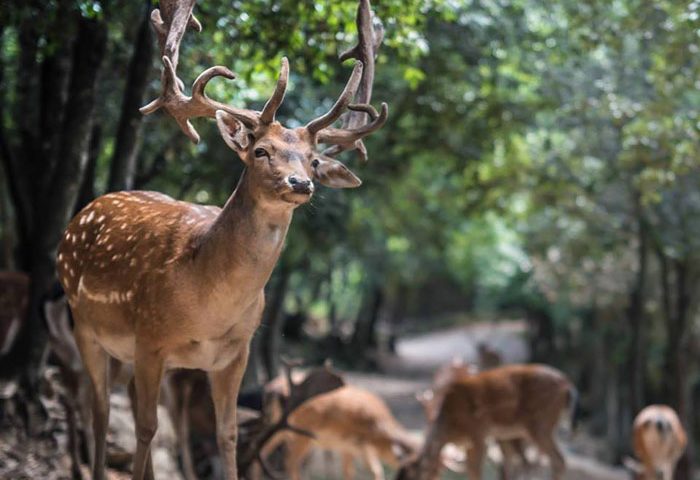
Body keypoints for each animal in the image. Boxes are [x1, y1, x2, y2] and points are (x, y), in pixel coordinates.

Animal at [57, 1, 388, 478]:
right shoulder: (150, 338)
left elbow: (226, 435)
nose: (301, 183)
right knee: (101, 409)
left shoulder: (236, 353)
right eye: (261, 150)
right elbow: (147, 429)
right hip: (83, 322)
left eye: (312, 159)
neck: (206, 310)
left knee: (129, 409)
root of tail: (83, 212)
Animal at [396, 364, 576, 480]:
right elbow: (472, 470)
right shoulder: (469, 442)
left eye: (411, 476)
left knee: (557, 460)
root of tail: (568, 386)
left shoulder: (478, 431)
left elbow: (476, 471)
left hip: (540, 423)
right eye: (399, 474)